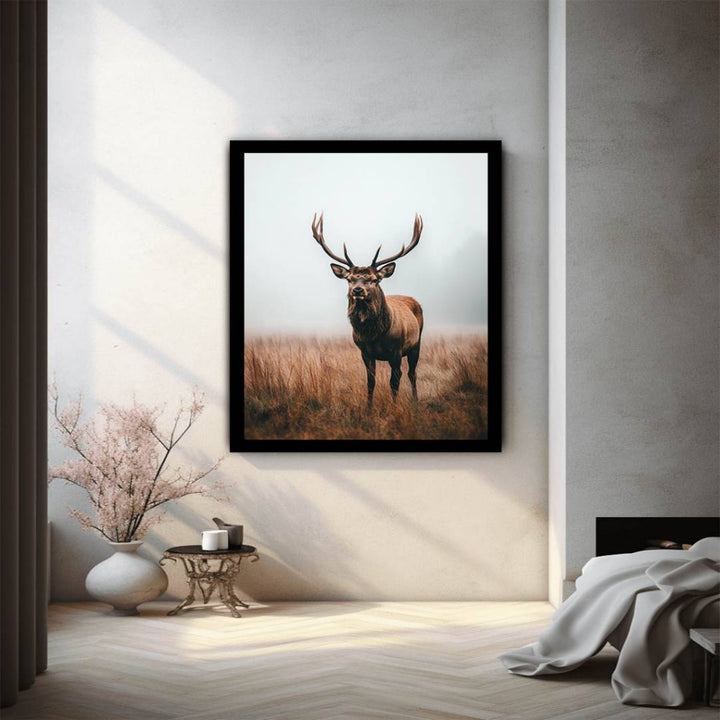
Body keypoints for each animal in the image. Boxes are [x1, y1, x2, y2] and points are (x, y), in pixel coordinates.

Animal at [311, 213, 424, 408]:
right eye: (349, 279)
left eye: (374, 279)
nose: (358, 290)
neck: (373, 335)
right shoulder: (365, 352)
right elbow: (371, 381)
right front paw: (368, 408)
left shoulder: (396, 351)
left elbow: (394, 382)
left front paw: (394, 407)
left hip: (416, 343)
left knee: (411, 373)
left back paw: (415, 400)